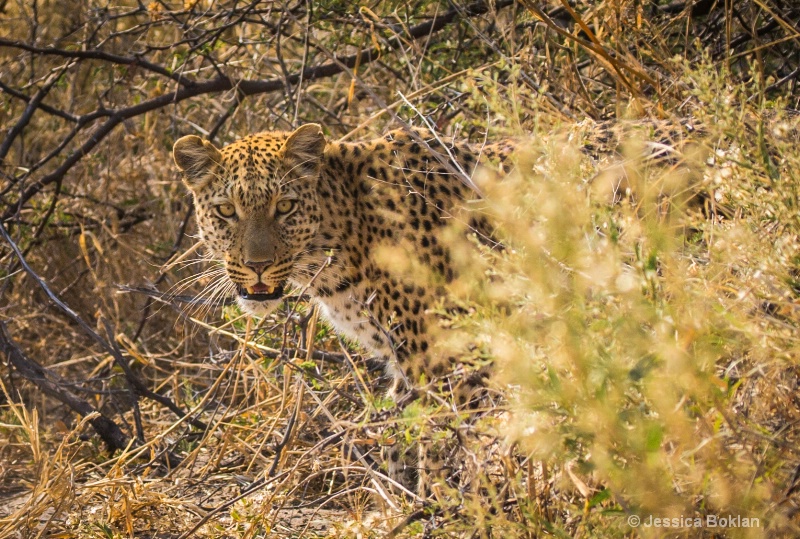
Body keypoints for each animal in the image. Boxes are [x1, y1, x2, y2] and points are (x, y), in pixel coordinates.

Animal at [172, 124, 516, 496]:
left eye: (286, 206)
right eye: (226, 211)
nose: (257, 266)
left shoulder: (445, 360)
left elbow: (439, 444)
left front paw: (440, 502)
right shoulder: (404, 362)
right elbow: (398, 434)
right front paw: (400, 496)